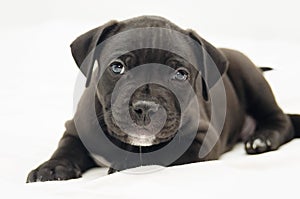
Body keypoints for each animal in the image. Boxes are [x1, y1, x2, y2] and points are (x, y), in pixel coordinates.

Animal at [26, 16, 298, 183]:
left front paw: (123, 164)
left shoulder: (200, 139)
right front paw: (51, 167)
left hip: (250, 76)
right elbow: (66, 147)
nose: (145, 108)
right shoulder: (75, 128)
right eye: (117, 67)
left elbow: (157, 154)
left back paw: (262, 138)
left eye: (181, 74)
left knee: (281, 119)